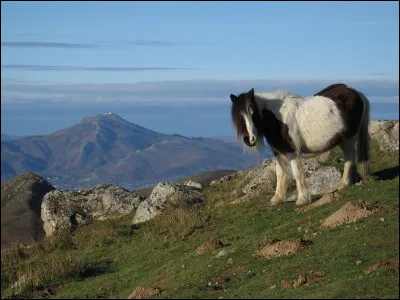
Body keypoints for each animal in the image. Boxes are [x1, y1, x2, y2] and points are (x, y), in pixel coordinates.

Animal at [230, 84, 370, 206]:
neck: (277, 117)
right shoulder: (278, 151)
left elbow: (297, 173)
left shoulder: (291, 150)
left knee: (350, 157)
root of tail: (356, 93)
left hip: (349, 138)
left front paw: (302, 199)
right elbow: (279, 173)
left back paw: (344, 184)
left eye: (253, 113)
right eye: (239, 116)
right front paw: (277, 198)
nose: (250, 139)